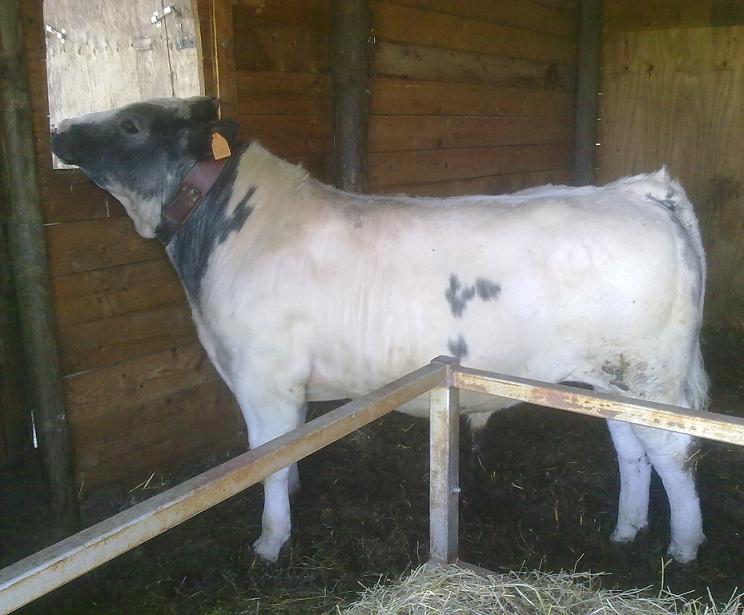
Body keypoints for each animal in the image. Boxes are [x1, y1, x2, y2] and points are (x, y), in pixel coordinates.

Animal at [51, 96, 708, 564]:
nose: (59, 129)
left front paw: (270, 542)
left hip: (650, 373)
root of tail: (635, 191)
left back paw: (684, 545)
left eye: (132, 124)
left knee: (674, 451)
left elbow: (267, 457)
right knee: (631, 447)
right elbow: (289, 454)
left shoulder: (263, 378)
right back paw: (626, 530)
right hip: (608, 378)